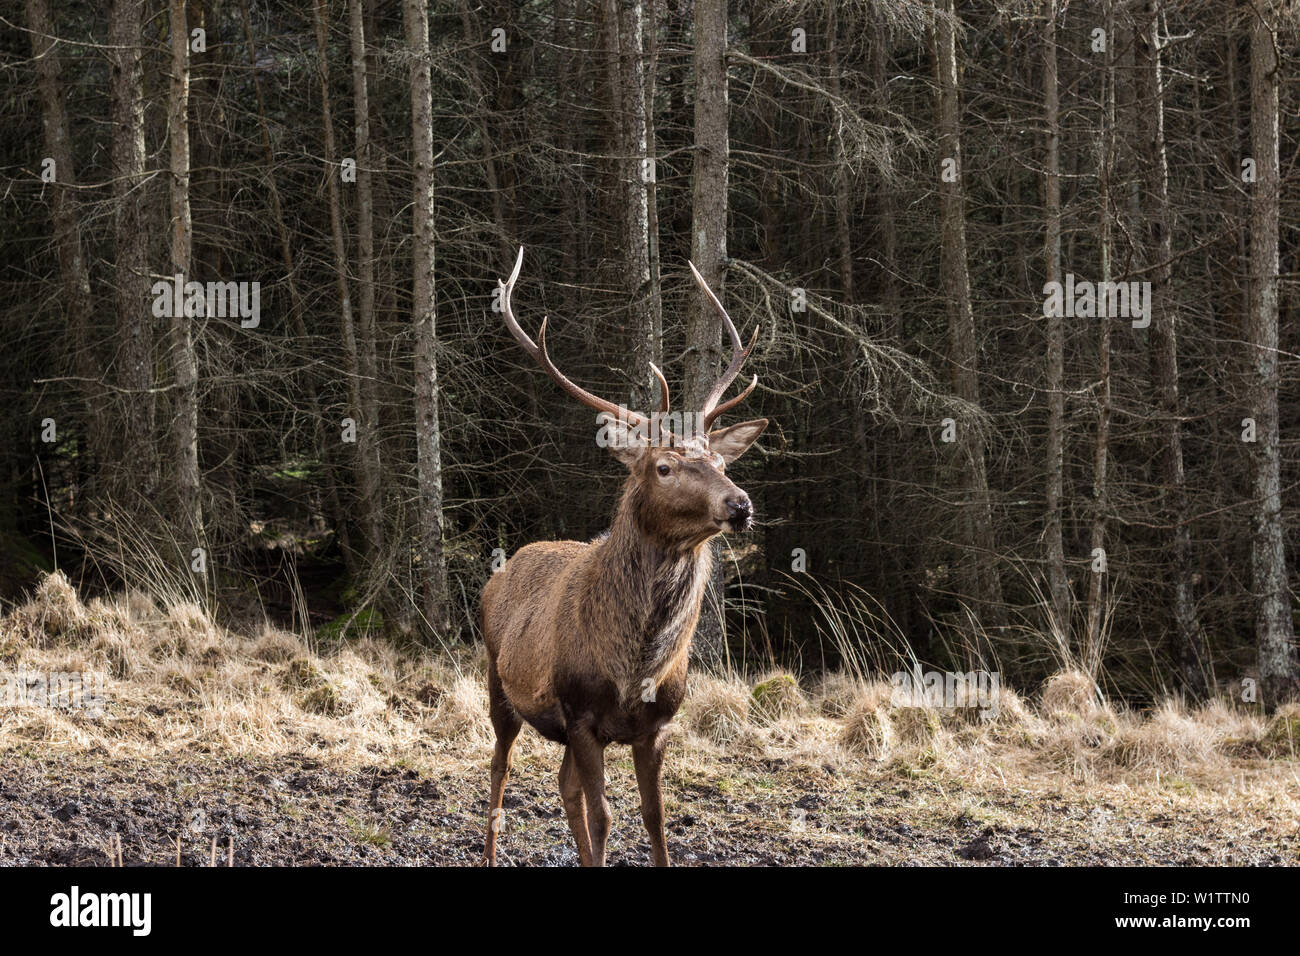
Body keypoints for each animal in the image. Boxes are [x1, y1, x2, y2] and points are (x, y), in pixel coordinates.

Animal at [480, 247, 768, 867]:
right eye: (663, 466)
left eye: (720, 461)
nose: (739, 504)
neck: (633, 668)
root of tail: (503, 569)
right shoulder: (582, 714)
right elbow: (605, 817)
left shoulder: (655, 725)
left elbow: (656, 820)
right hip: (498, 680)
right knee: (498, 769)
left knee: (562, 787)